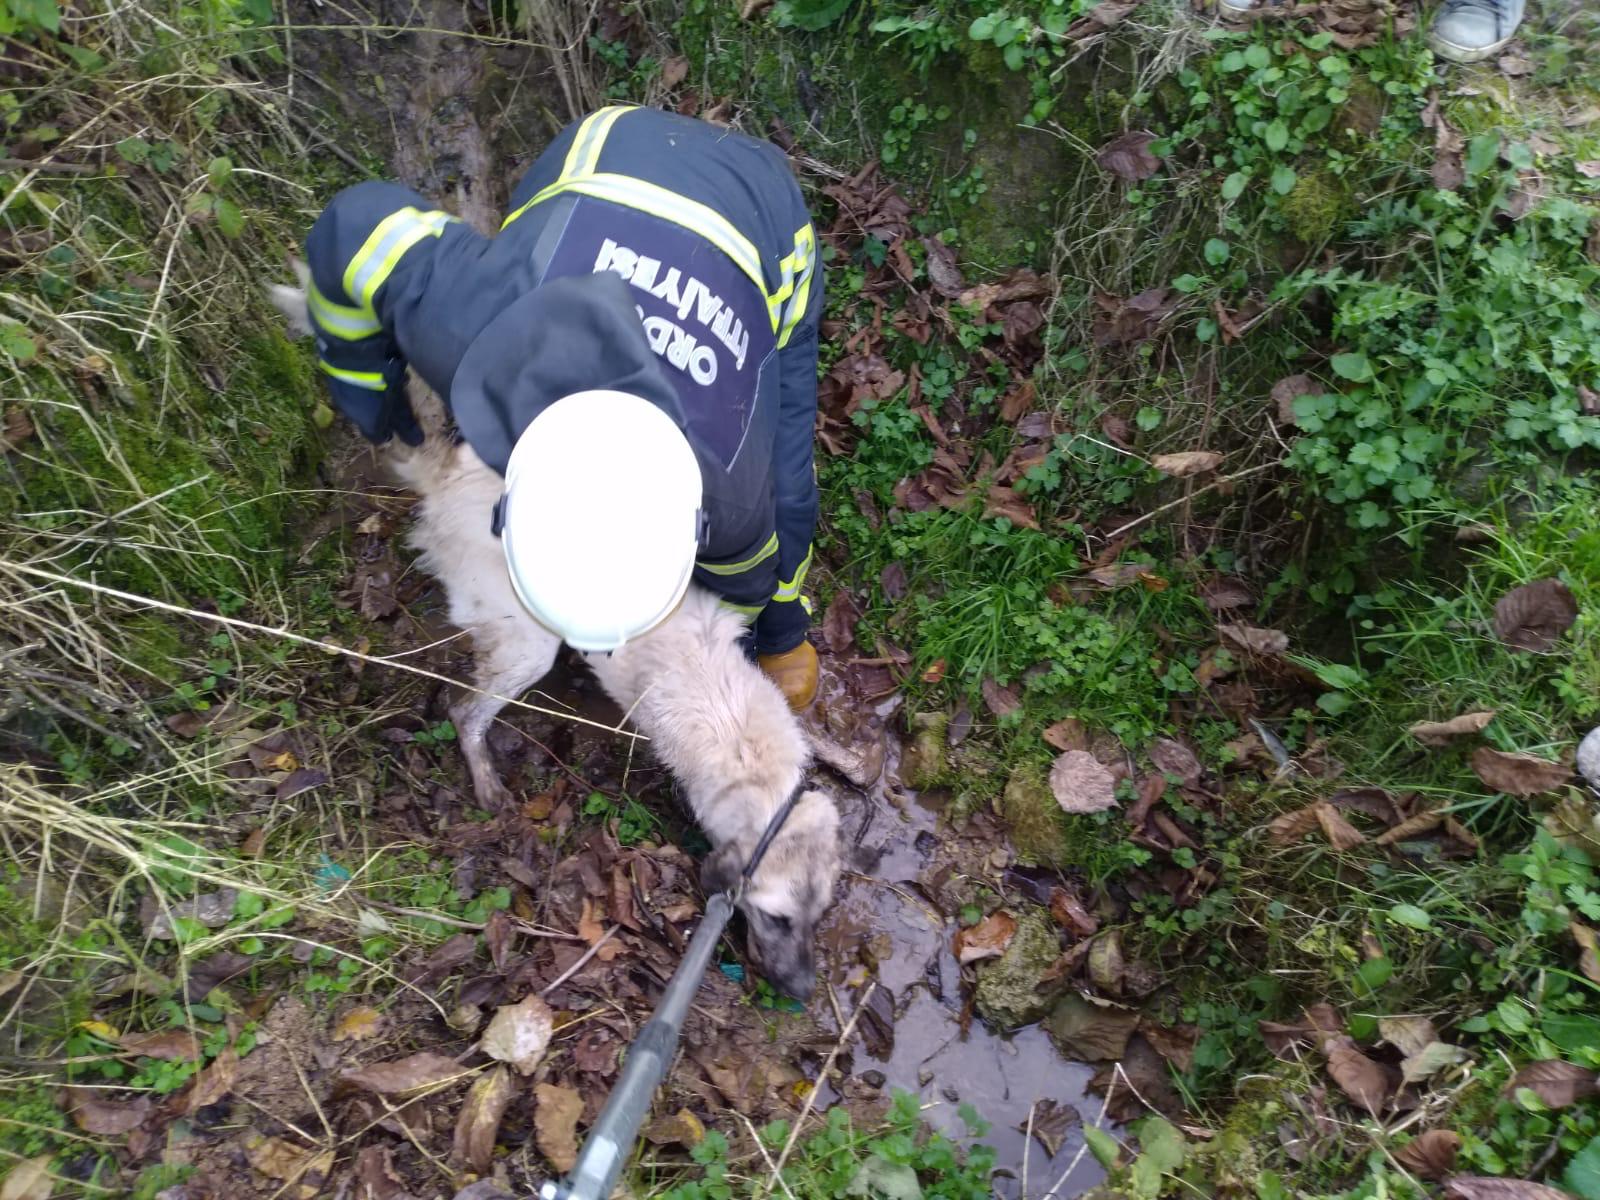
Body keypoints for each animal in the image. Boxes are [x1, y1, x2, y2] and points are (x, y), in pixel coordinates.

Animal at [269, 270, 840, 998]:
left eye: (818, 918)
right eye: (776, 918)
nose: (803, 990)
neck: (730, 718)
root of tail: (450, 475)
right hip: (523, 642)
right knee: (463, 711)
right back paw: (485, 775)